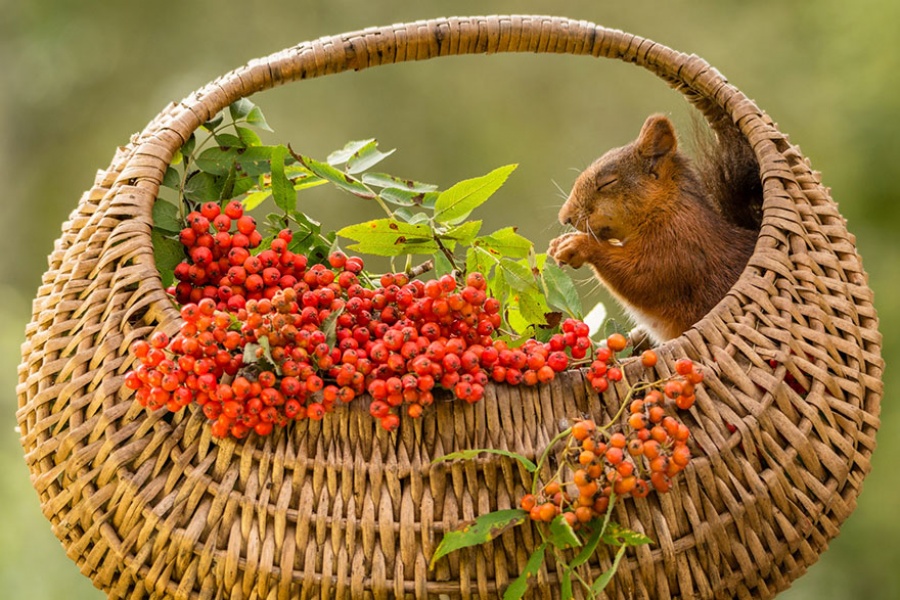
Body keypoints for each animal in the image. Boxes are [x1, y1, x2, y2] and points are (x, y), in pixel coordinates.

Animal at [548, 114, 760, 344]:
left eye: (608, 182)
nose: (565, 217)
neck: (664, 210)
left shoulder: (677, 250)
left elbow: (640, 277)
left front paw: (576, 244)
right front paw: (557, 244)